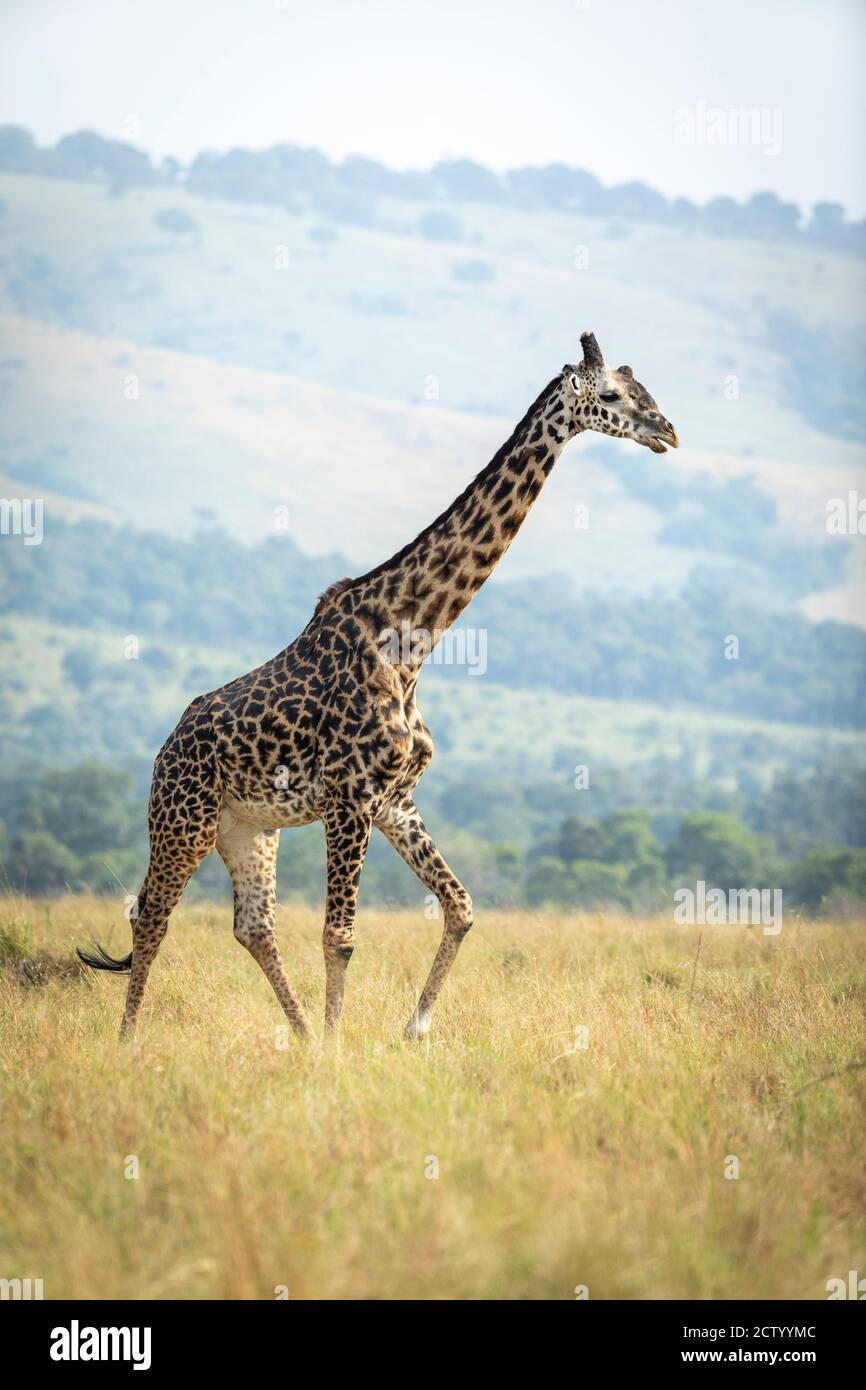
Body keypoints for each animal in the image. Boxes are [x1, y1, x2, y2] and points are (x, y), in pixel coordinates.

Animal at [79, 330, 678, 1039]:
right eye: (611, 394)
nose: (668, 431)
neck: (410, 640)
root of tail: (163, 750)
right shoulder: (349, 798)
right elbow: (340, 937)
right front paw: (341, 1048)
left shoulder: (395, 798)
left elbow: (461, 906)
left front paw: (412, 1029)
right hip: (183, 819)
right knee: (151, 915)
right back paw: (131, 1041)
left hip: (249, 830)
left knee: (253, 926)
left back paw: (300, 1035)